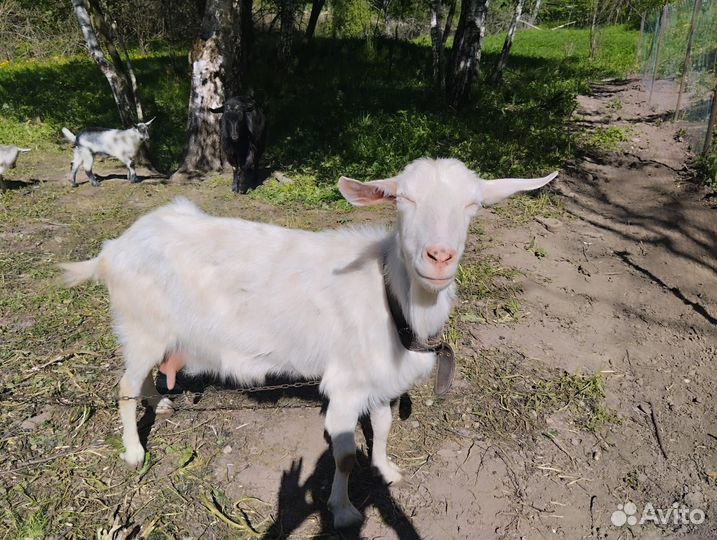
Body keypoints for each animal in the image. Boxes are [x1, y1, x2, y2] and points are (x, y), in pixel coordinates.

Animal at [60, 158, 557, 528]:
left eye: (473, 205)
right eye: (404, 200)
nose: (439, 257)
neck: (389, 296)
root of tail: (112, 251)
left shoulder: (380, 379)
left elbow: (383, 426)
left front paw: (387, 470)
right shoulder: (346, 385)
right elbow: (343, 456)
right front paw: (344, 511)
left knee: (141, 376)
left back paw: (160, 404)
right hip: (140, 324)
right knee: (124, 386)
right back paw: (133, 451)